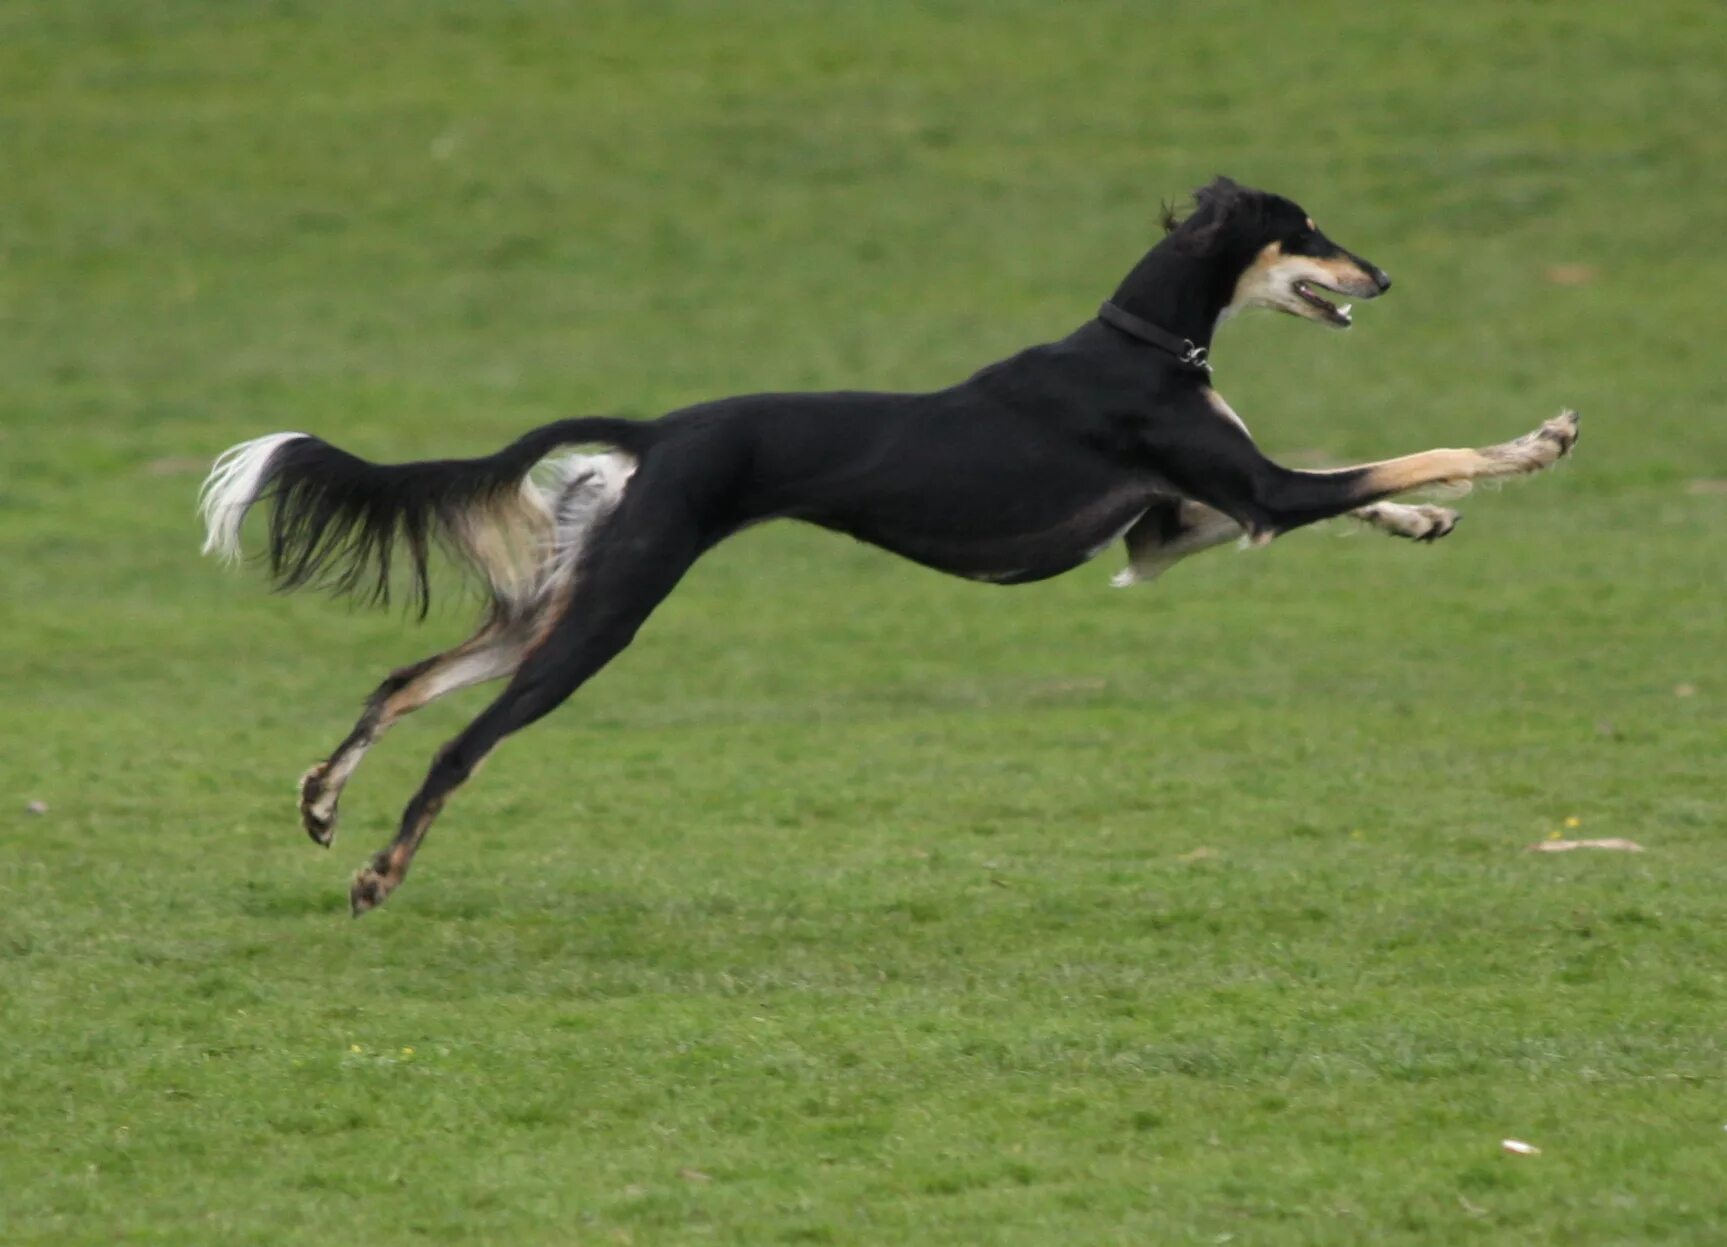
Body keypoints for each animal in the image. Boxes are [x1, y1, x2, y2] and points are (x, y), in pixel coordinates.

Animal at [198, 177, 1581, 911]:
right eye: (1305, 230)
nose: (1383, 276)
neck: (1141, 344)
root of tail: (657, 427)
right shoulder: (1247, 495)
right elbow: (1397, 454)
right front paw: (1527, 444)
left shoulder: (1173, 527)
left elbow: (1360, 484)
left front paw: (1423, 517)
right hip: (611, 611)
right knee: (463, 741)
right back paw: (378, 868)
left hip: (568, 591)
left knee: (403, 678)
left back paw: (322, 799)